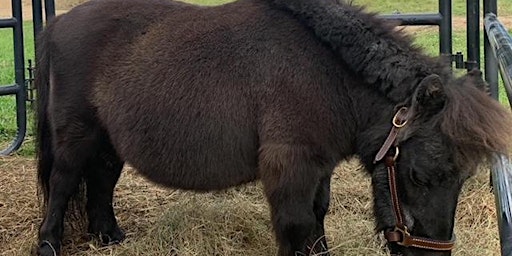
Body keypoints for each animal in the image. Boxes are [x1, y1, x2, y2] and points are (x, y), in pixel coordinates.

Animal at [36, 0, 512, 255]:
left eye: (464, 179)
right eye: (419, 175)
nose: (429, 251)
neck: (325, 75)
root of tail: (57, 24)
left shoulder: (318, 167)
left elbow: (317, 218)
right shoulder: (290, 166)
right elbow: (296, 224)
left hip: (107, 140)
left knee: (101, 179)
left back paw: (108, 237)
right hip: (76, 135)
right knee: (62, 183)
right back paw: (48, 243)